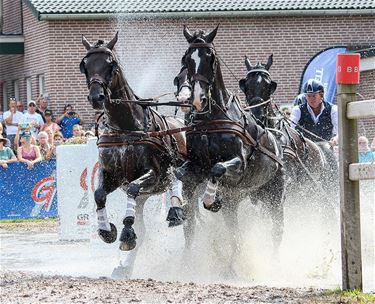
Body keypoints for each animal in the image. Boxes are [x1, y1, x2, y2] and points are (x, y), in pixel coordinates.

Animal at [81, 32, 195, 276]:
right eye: (85, 65)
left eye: (111, 64)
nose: (96, 97)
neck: (126, 127)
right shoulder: (112, 174)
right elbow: (99, 195)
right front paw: (107, 231)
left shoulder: (153, 174)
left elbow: (133, 187)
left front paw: (125, 234)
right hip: (145, 196)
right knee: (143, 228)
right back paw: (126, 265)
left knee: (187, 211)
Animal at [175, 26, 286, 266]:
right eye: (186, 58)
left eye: (210, 57)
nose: (196, 99)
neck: (210, 122)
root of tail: (277, 142)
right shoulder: (194, 167)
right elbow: (182, 180)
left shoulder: (239, 166)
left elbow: (217, 168)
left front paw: (211, 199)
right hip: (244, 198)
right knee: (235, 232)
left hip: (275, 195)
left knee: (277, 230)